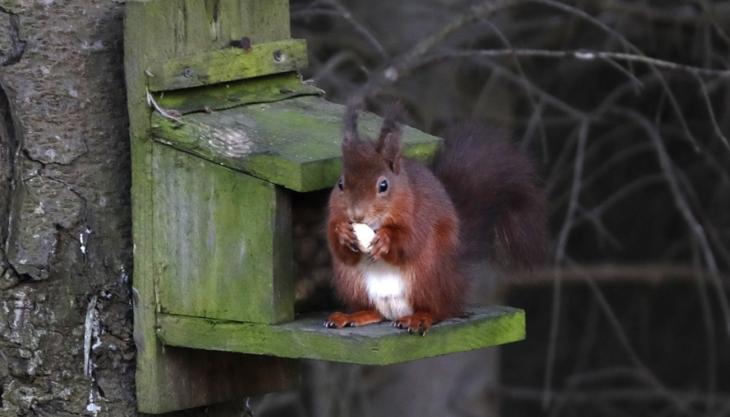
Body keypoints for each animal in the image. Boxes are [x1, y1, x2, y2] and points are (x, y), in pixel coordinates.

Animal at [322, 108, 540, 334]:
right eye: (340, 184)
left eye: (383, 185)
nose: (357, 215)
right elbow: (339, 248)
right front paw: (342, 232)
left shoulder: (420, 213)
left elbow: (409, 242)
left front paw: (385, 239)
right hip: (351, 282)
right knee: (374, 311)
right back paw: (352, 316)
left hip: (429, 274)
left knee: (440, 311)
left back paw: (420, 318)